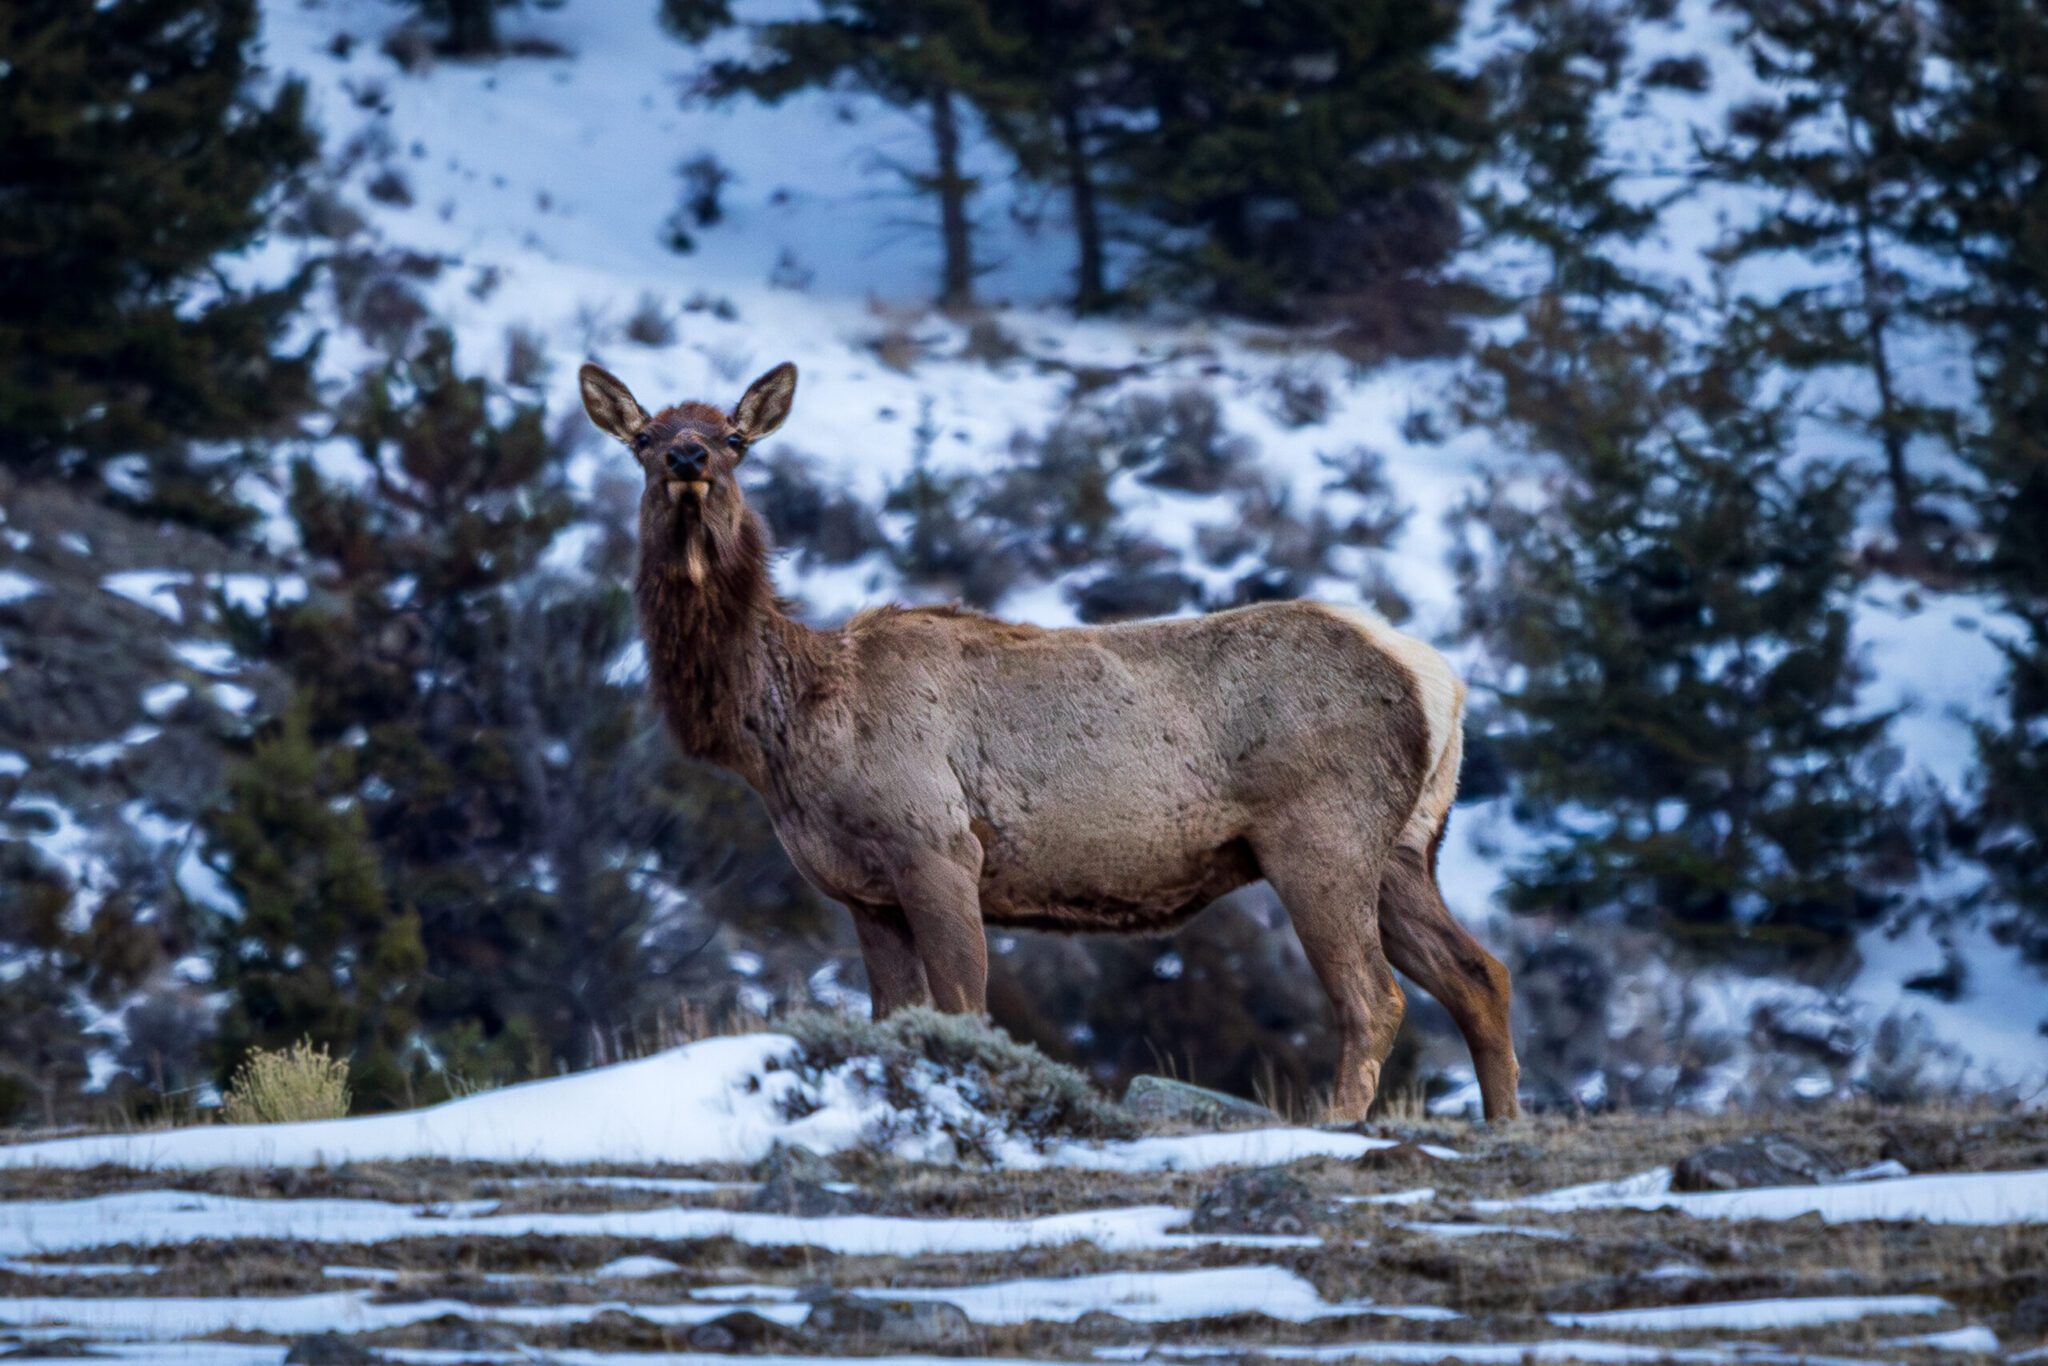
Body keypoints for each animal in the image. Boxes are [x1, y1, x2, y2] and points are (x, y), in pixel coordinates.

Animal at [579, 360, 1521, 1121]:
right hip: (1405, 847)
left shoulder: (938, 845)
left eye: (735, 437)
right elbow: (892, 1021)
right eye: (645, 437)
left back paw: (1339, 1124)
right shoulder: (862, 891)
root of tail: (1440, 683)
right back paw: (1501, 1121)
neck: (786, 729)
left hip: (1320, 834)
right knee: (1480, 974)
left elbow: (964, 1010)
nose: (689, 460)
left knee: (1375, 997)